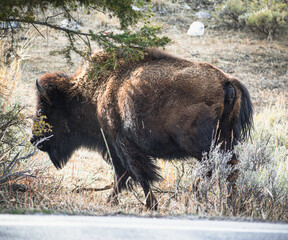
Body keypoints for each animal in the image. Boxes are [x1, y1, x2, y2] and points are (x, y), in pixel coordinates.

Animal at [30, 48, 253, 210]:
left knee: (212, 168)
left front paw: (150, 205)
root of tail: (226, 81)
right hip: (225, 140)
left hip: (201, 144)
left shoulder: (120, 143)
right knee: (230, 169)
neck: (96, 91)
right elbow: (123, 175)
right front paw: (112, 201)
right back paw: (232, 204)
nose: (34, 140)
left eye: (43, 109)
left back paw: (197, 199)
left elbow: (135, 174)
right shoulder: (115, 146)